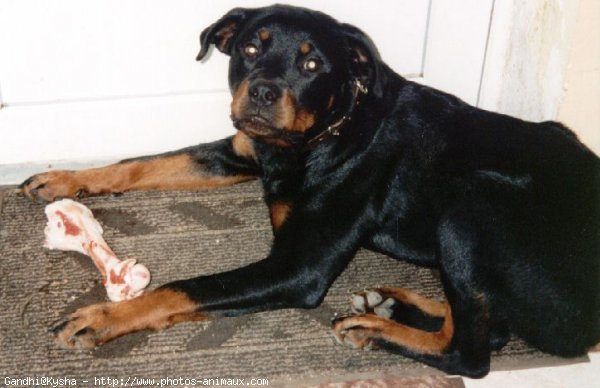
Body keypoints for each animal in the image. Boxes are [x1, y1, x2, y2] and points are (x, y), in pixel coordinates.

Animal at [19, 4, 600, 378]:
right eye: (250, 48)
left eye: (312, 63)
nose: (262, 91)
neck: (325, 132)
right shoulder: (241, 149)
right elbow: (144, 164)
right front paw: (66, 179)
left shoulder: (298, 268)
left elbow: (186, 288)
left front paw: (104, 317)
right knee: (484, 322)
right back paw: (393, 303)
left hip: (471, 204)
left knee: (474, 353)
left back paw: (377, 328)